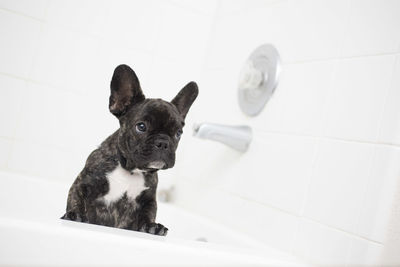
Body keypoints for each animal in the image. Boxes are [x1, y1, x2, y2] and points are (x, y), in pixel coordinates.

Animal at [61, 65, 198, 237]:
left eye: (178, 133)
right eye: (141, 127)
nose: (163, 143)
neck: (130, 170)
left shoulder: (148, 200)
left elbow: (148, 213)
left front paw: (152, 226)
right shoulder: (84, 182)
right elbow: (75, 197)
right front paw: (75, 214)